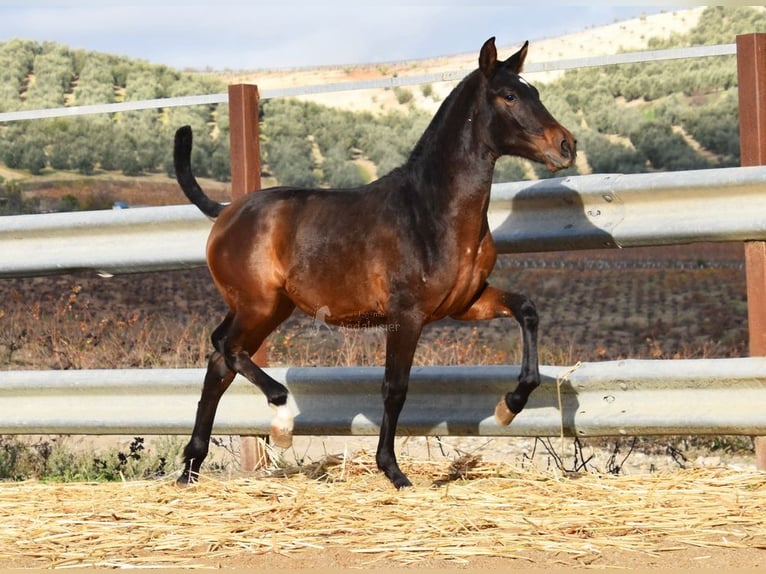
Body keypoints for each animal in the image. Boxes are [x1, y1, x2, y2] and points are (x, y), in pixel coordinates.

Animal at [174, 38, 580, 488]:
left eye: (534, 92)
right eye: (509, 96)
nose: (566, 145)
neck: (432, 211)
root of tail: (226, 212)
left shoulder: (467, 303)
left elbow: (526, 310)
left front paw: (509, 405)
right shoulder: (406, 315)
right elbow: (395, 388)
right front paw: (393, 471)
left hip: (269, 308)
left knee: (220, 362)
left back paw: (190, 468)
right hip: (257, 305)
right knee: (226, 349)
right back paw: (279, 422)